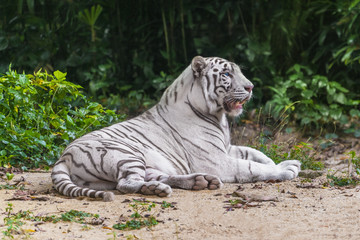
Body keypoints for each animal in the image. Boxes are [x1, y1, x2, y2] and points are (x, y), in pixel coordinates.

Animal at [51, 56, 300, 201]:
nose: (251, 87)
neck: (218, 116)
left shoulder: (227, 148)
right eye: (227, 74)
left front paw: (278, 162)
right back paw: (162, 189)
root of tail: (63, 157)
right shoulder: (217, 160)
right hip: (125, 153)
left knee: (156, 177)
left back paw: (195, 182)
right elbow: (251, 167)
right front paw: (286, 168)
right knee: (125, 184)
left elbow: (255, 153)